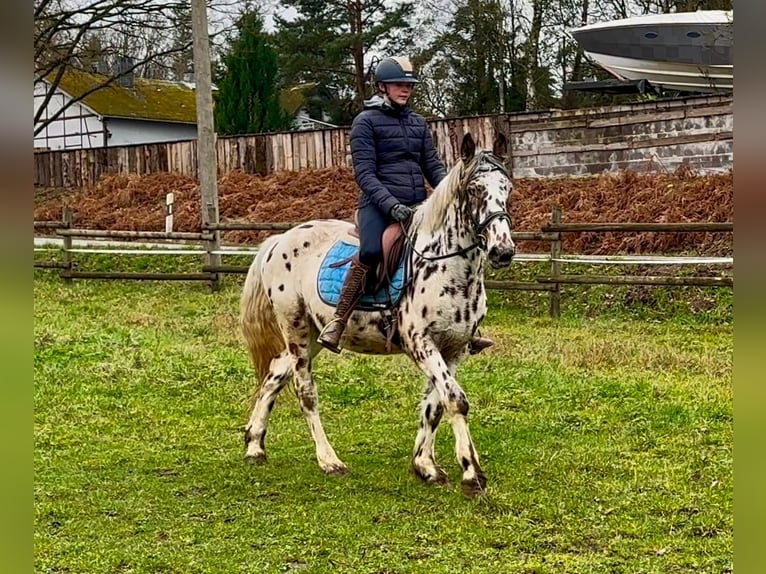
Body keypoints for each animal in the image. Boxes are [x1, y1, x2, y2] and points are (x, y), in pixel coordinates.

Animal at [240, 133, 516, 498]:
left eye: (507, 188)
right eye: (473, 190)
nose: (503, 251)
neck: (449, 266)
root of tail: (279, 240)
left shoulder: (454, 349)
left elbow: (435, 405)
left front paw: (425, 466)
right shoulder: (421, 343)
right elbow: (455, 400)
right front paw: (472, 474)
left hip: (313, 334)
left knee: (274, 375)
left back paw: (255, 445)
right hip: (295, 327)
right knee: (304, 390)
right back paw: (329, 460)